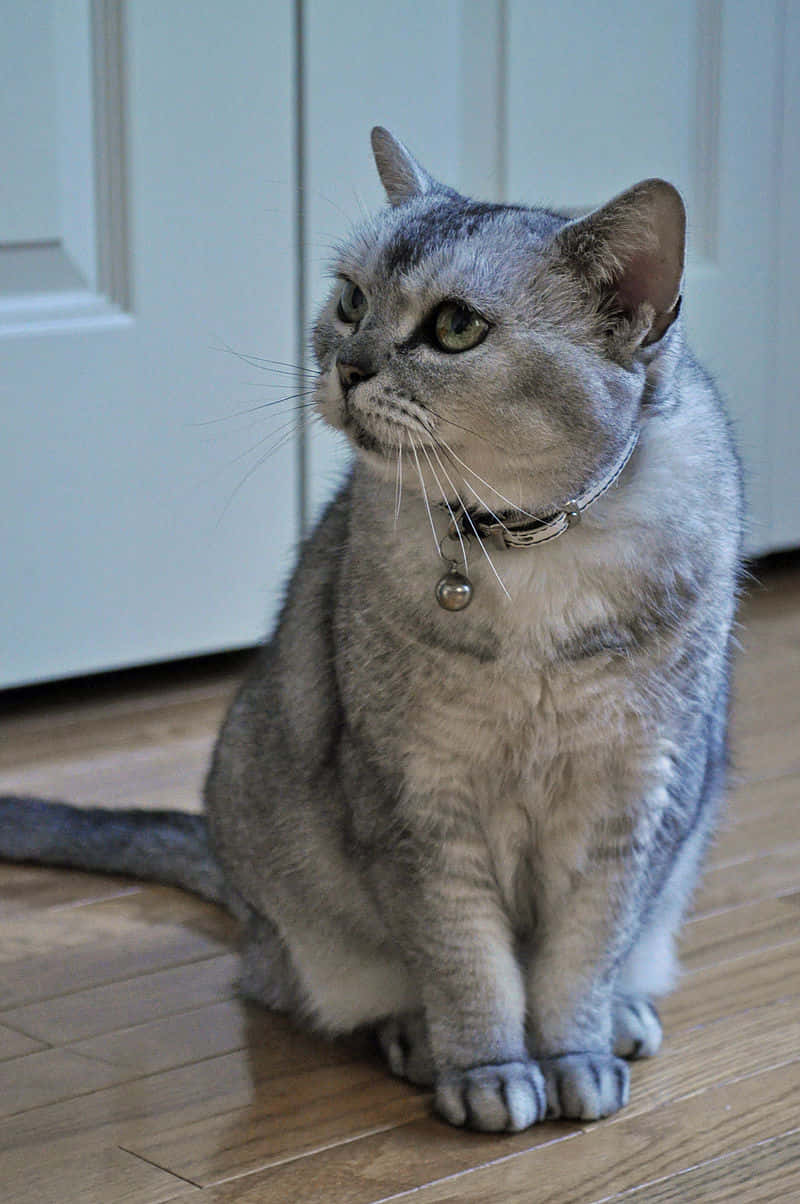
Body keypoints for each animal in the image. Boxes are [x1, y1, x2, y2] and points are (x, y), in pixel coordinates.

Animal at [0, 131, 742, 1136]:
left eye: (457, 328)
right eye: (351, 299)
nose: (346, 366)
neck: (530, 549)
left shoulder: (630, 802)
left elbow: (576, 964)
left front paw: (575, 1056)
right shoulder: (418, 803)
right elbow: (471, 966)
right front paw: (489, 1072)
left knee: (621, 958)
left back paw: (625, 1016)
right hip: (292, 877)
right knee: (303, 985)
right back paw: (416, 1041)